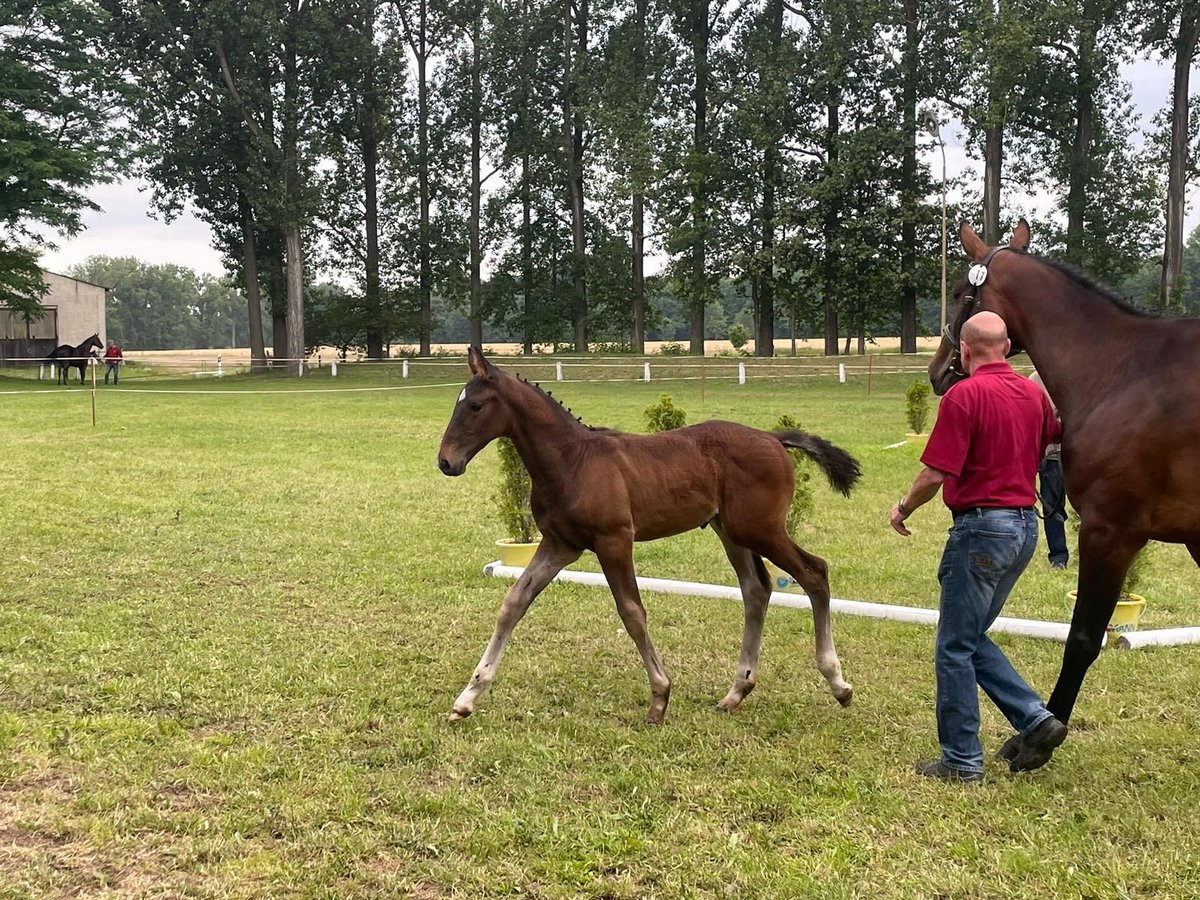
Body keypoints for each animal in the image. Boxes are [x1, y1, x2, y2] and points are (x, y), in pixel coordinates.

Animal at [441, 348, 864, 724]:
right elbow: (513, 604)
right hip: (732, 531)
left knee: (814, 573)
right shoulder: (561, 544)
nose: (446, 461)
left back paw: (838, 684)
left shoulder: (614, 540)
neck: (572, 460)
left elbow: (632, 613)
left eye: (475, 406)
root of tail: (773, 437)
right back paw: (736, 692)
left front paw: (660, 698)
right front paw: (467, 698)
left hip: (762, 529)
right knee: (756, 589)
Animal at [931, 222, 1200, 772]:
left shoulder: (1109, 531)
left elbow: (1082, 640)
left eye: (961, 293)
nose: (937, 372)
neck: (1122, 370)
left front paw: (1035, 742)